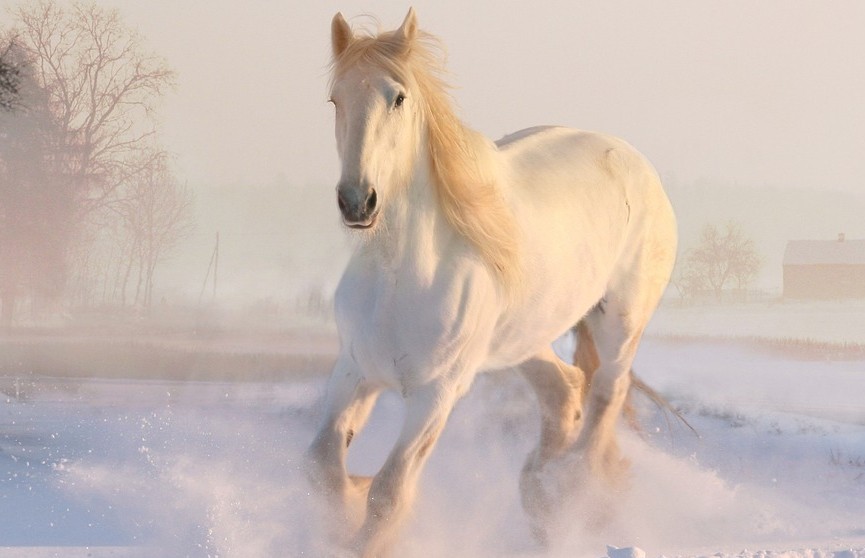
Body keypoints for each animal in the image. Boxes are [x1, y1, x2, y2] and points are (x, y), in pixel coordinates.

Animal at [308, 7, 680, 556]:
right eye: (336, 99)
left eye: (398, 97)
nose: (358, 201)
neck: (401, 276)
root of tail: (633, 160)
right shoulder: (355, 371)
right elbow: (323, 470)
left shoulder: (436, 394)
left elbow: (389, 494)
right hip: (524, 337)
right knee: (564, 390)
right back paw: (540, 494)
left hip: (620, 323)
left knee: (605, 397)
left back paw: (569, 490)